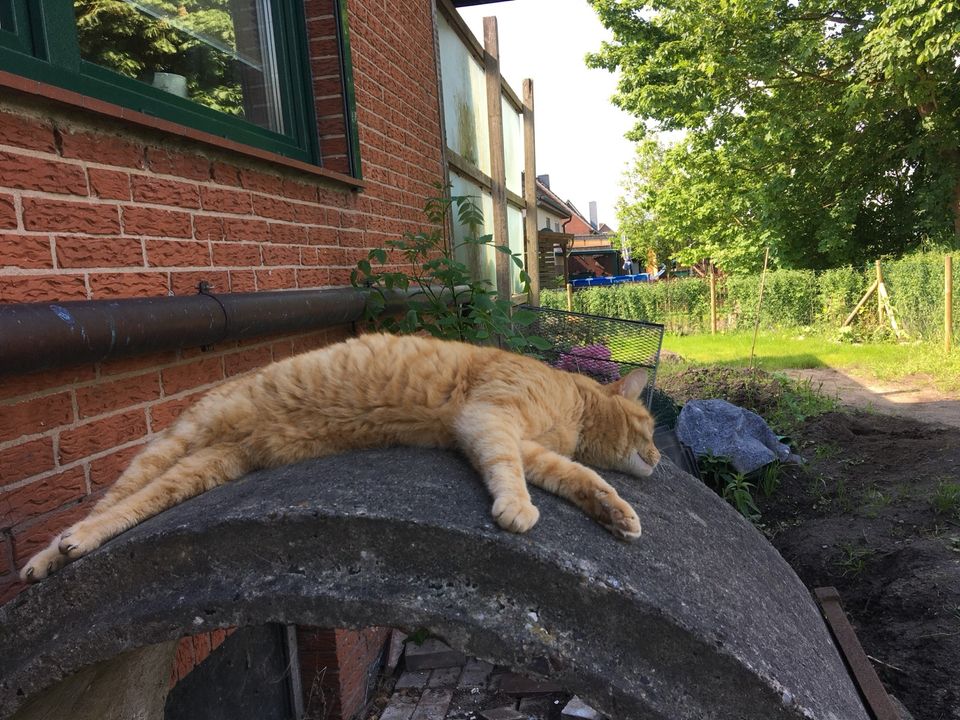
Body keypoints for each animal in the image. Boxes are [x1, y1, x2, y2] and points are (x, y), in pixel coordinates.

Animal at [20, 334, 660, 584]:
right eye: (650, 427)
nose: (658, 455)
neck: (572, 403)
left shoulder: (521, 443)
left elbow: (573, 475)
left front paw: (615, 512)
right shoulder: (489, 420)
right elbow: (512, 472)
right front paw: (517, 508)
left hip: (207, 468)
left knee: (141, 502)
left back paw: (59, 554)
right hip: (173, 446)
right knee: (106, 504)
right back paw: (57, 550)